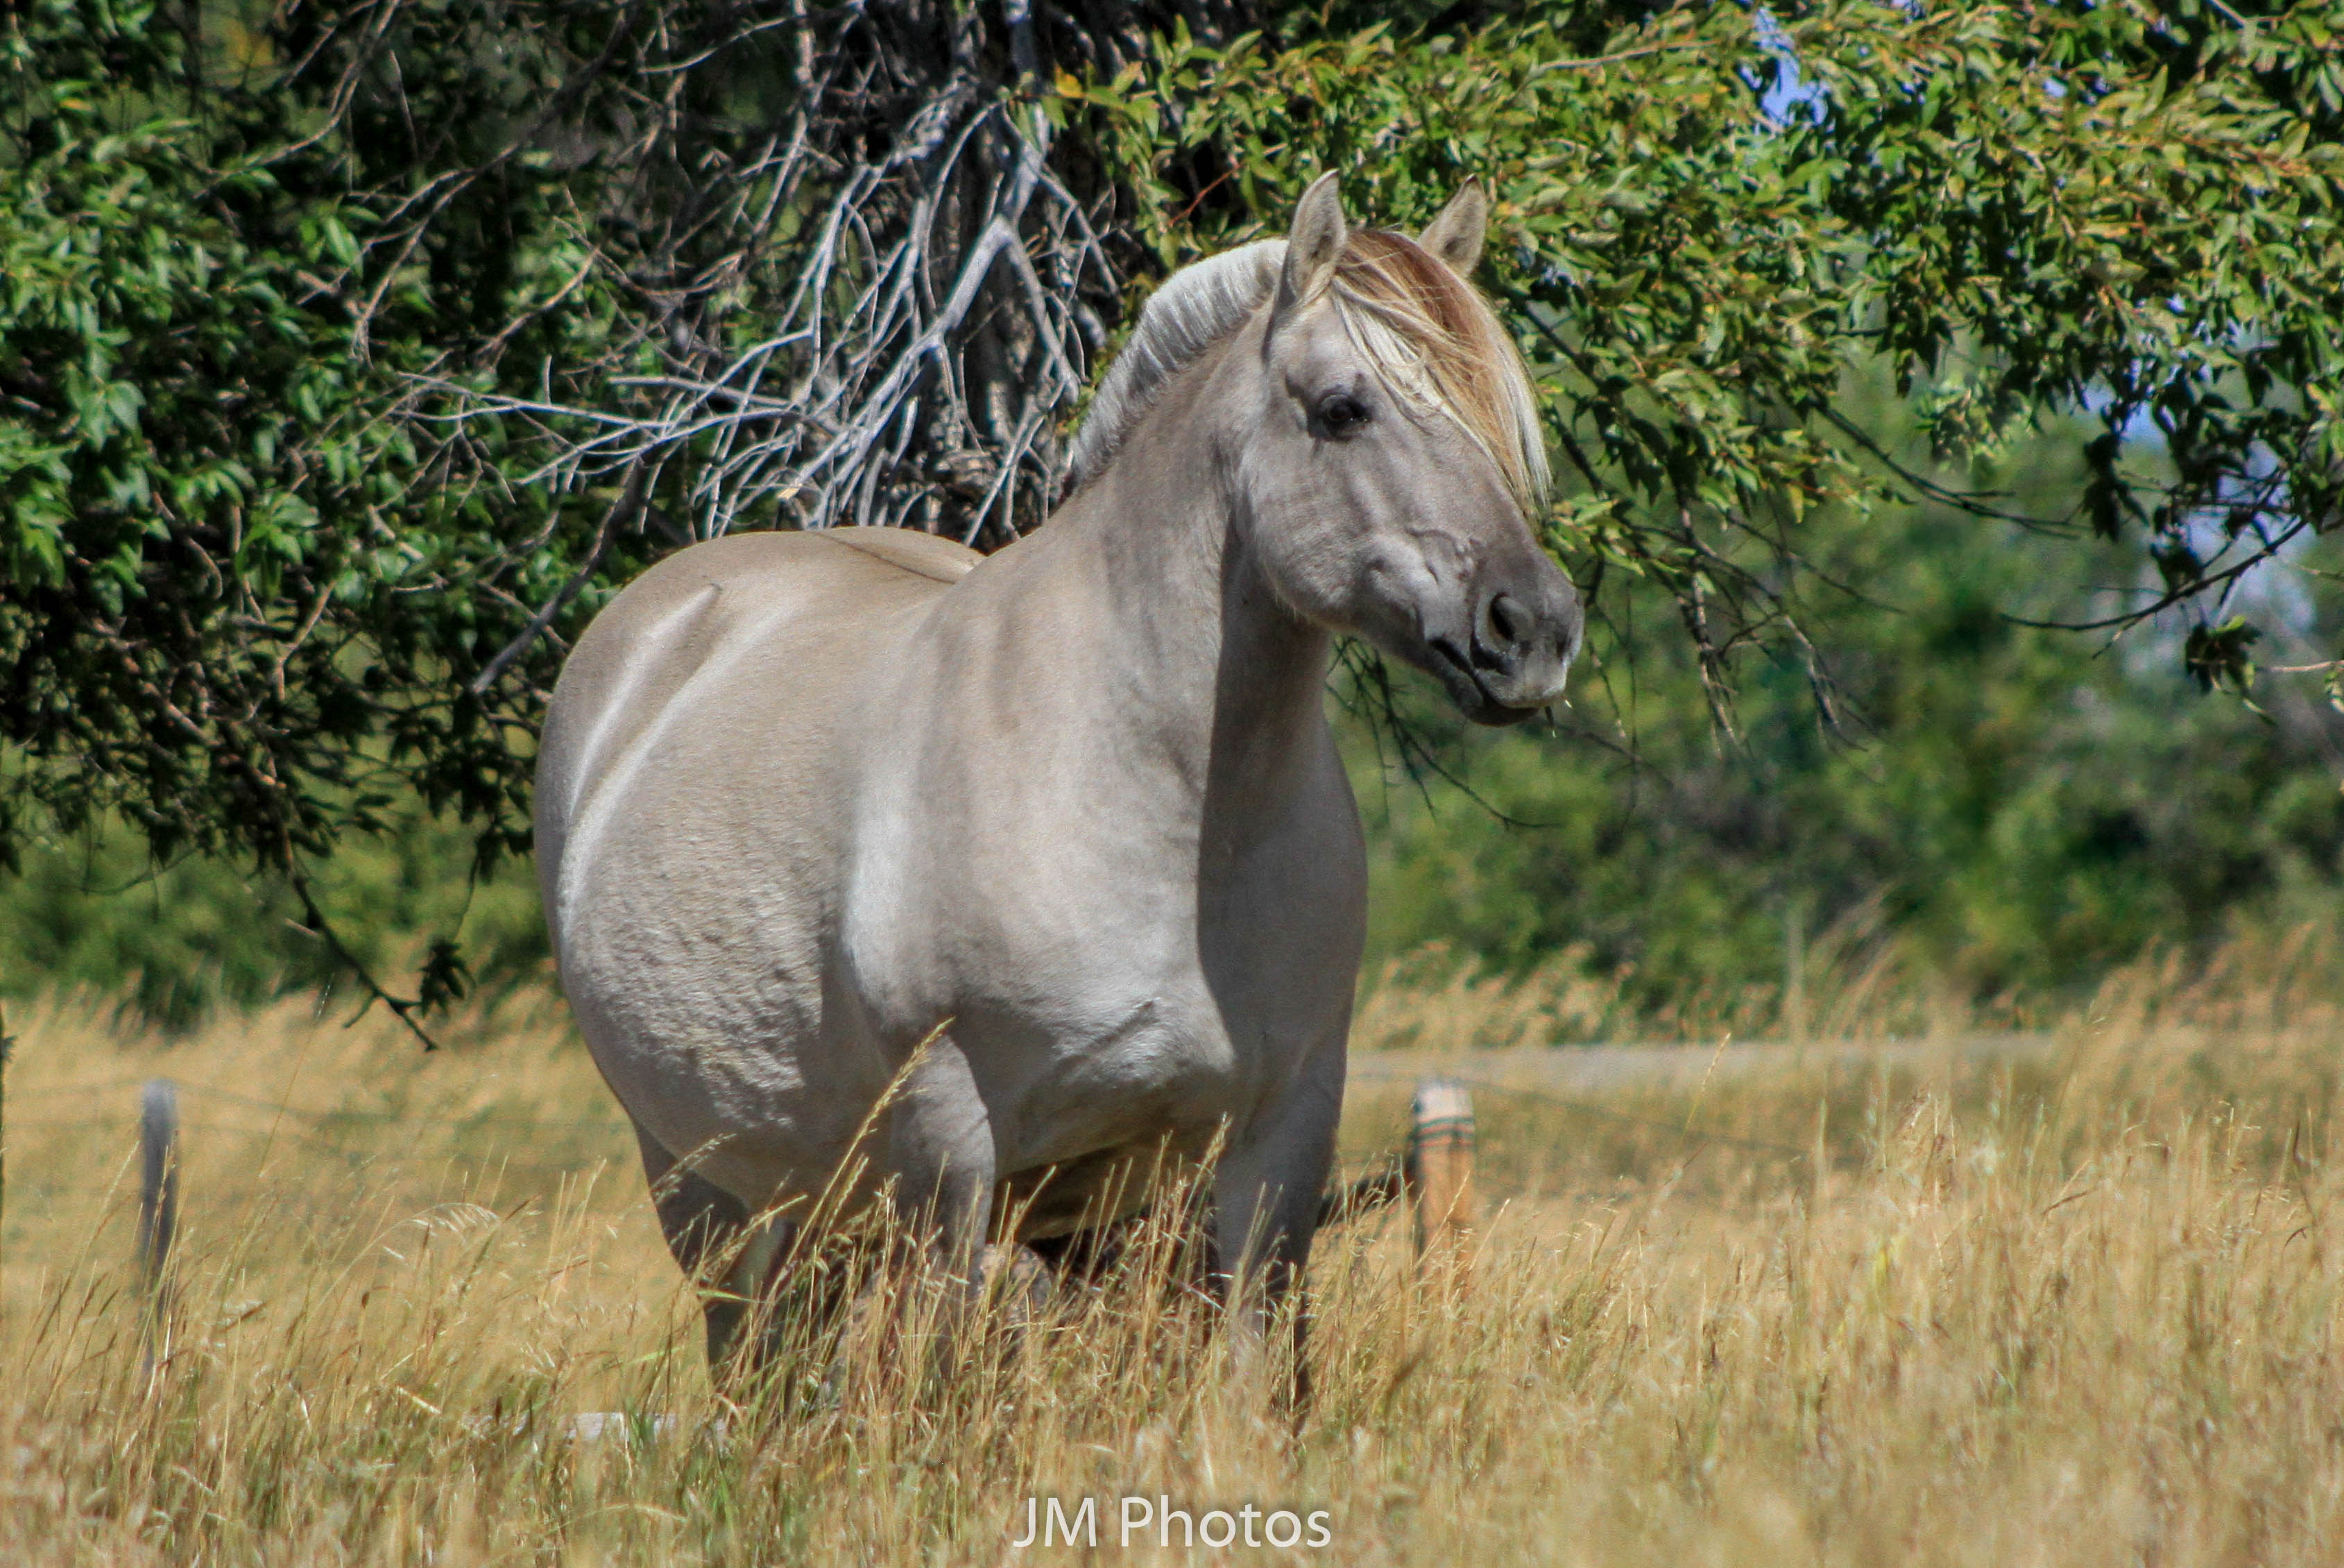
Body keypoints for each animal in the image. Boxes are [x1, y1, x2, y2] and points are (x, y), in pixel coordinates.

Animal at [533, 174, 1582, 1382]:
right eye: (1340, 409)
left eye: (1494, 417)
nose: (1531, 628)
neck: (1153, 815)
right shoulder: (952, 1150)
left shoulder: (1274, 1137)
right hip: (709, 1191)